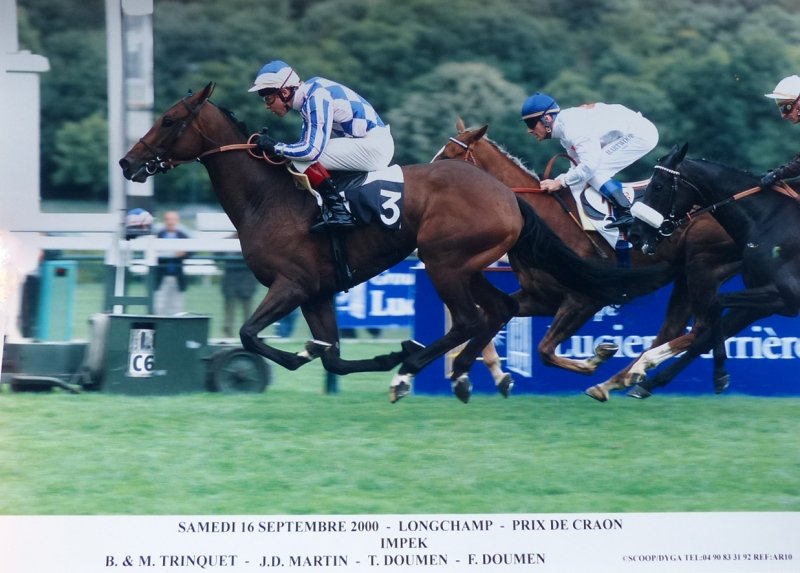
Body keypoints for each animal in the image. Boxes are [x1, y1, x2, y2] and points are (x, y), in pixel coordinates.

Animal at [119, 83, 664, 403]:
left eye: (169, 120)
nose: (127, 163)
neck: (266, 197)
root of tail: (509, 195)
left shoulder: (291, 284)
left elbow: (251, 335)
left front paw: (306, 358)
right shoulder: (316, 291)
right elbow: (331, 354)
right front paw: (351, 357)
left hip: (444, 260)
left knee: (472, 319)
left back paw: (414, 368)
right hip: (467, 266)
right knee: (498, 311)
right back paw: (449, 370)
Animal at [433, 120, 742, 400]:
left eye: (449, 155)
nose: (428, 176)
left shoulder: (584, 299)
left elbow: (544, 351)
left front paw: (598, 357)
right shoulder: (541, 297)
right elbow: (491, 317)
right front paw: (488, 376)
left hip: (702, 266)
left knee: (699, 327)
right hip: (685, 275)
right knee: (672, 329)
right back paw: (622, 379)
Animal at [625, 142, 800, 397]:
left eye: (657, 186)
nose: (635, 235)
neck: (767, 221)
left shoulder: (785, 295)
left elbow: (716, 303)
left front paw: (719, 374)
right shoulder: (763, 304)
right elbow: (704, 338)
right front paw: (647, 382)